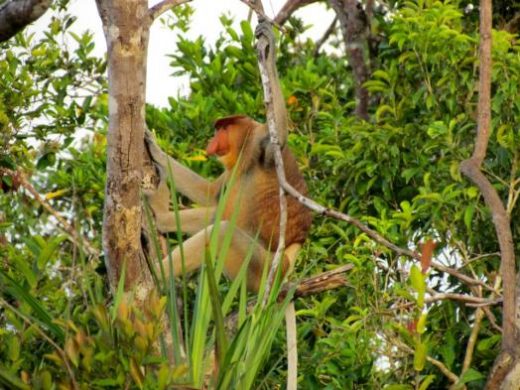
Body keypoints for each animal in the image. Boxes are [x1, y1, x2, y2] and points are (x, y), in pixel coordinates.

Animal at [144, 20, 310, 292]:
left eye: (222, 128)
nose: (211, 142)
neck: (246, 151)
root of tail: (288, 266)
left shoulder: (262, 143)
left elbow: (280, 132)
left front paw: (269, 48)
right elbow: (211, 193)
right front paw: (155, 148)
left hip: (262, 270)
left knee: (221, 231)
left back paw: (156, 275)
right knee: (215, 215)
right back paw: (163, 219)